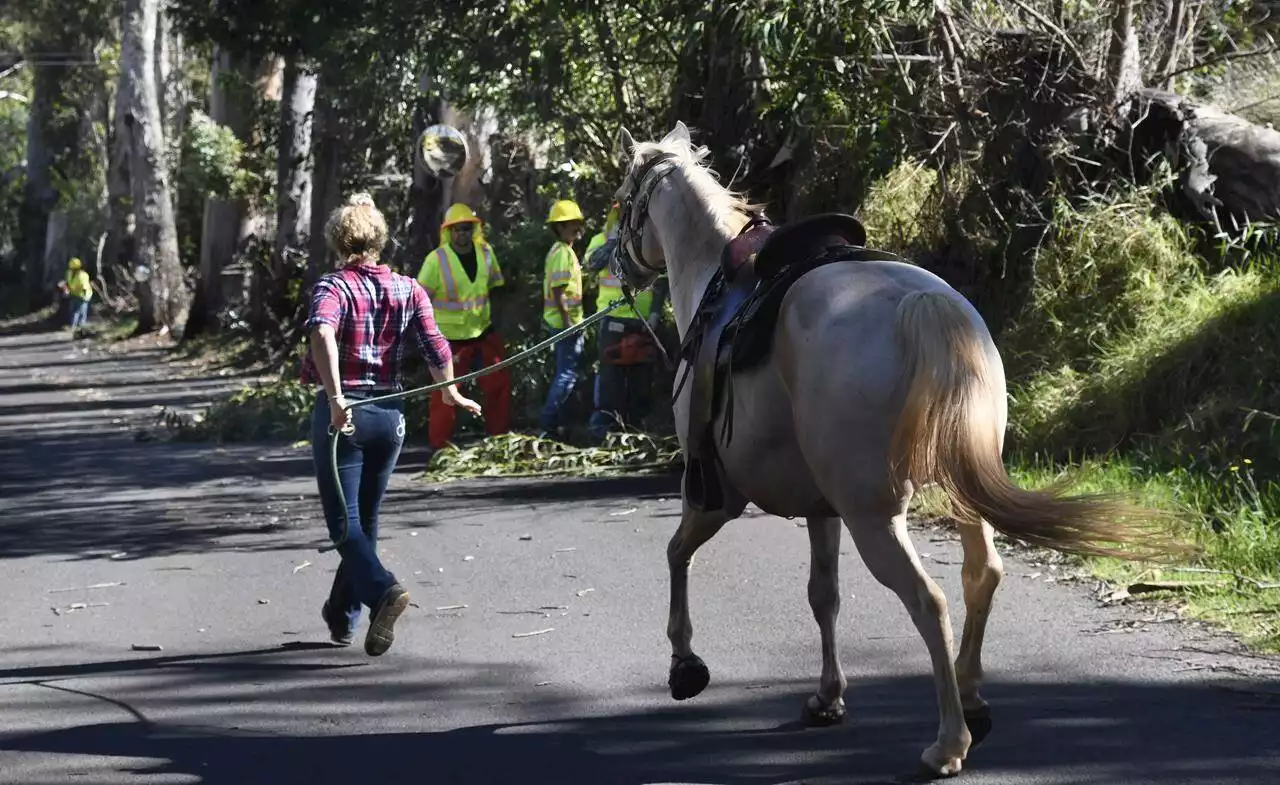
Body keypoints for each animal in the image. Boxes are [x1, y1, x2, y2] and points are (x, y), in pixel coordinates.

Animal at [609, 119, 1187, 773]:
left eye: (623, 201)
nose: (615, 264)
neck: (717, 280)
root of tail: (924, 307)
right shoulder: (822, 509)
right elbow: (823, 595)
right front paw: (827, 698)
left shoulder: (715, 497)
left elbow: (677, 554)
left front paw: (685, 663)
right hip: (956, 491)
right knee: (981, 575)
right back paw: (971, 697)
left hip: (875, 517)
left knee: (928, 599)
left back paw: (949, 742)